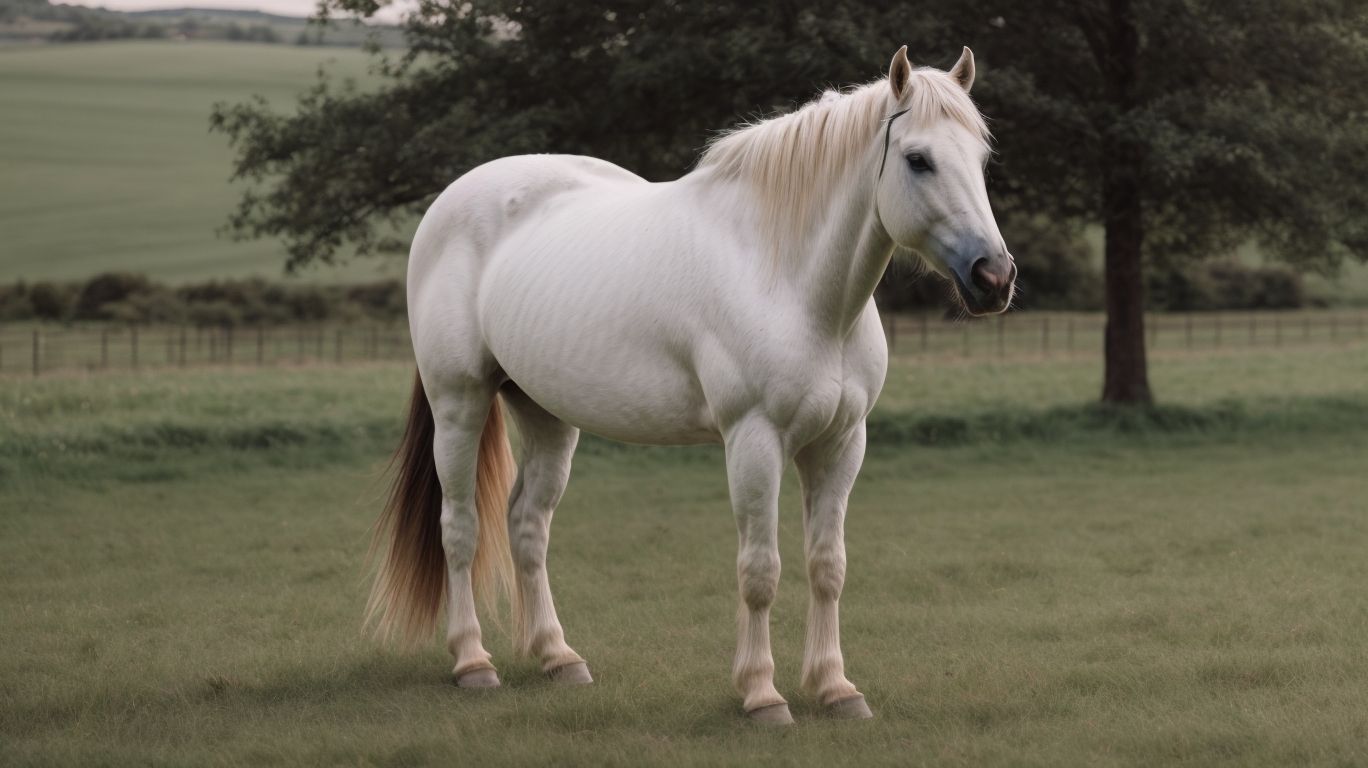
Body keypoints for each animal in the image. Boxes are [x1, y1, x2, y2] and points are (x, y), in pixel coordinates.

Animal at [367, 45, 1015, 725]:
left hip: (546, 414)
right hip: (459, 403)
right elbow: (760, 570)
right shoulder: (754, 442)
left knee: (527, 525)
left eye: (981, 158)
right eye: (918, 159)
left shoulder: (841, 444)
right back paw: (473, 662)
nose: (994, 277)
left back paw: (557, 658)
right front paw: (762, 695)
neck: (785, 276)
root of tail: (450, 202)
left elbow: (827, 566)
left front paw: (836, 689)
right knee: (460, 527)